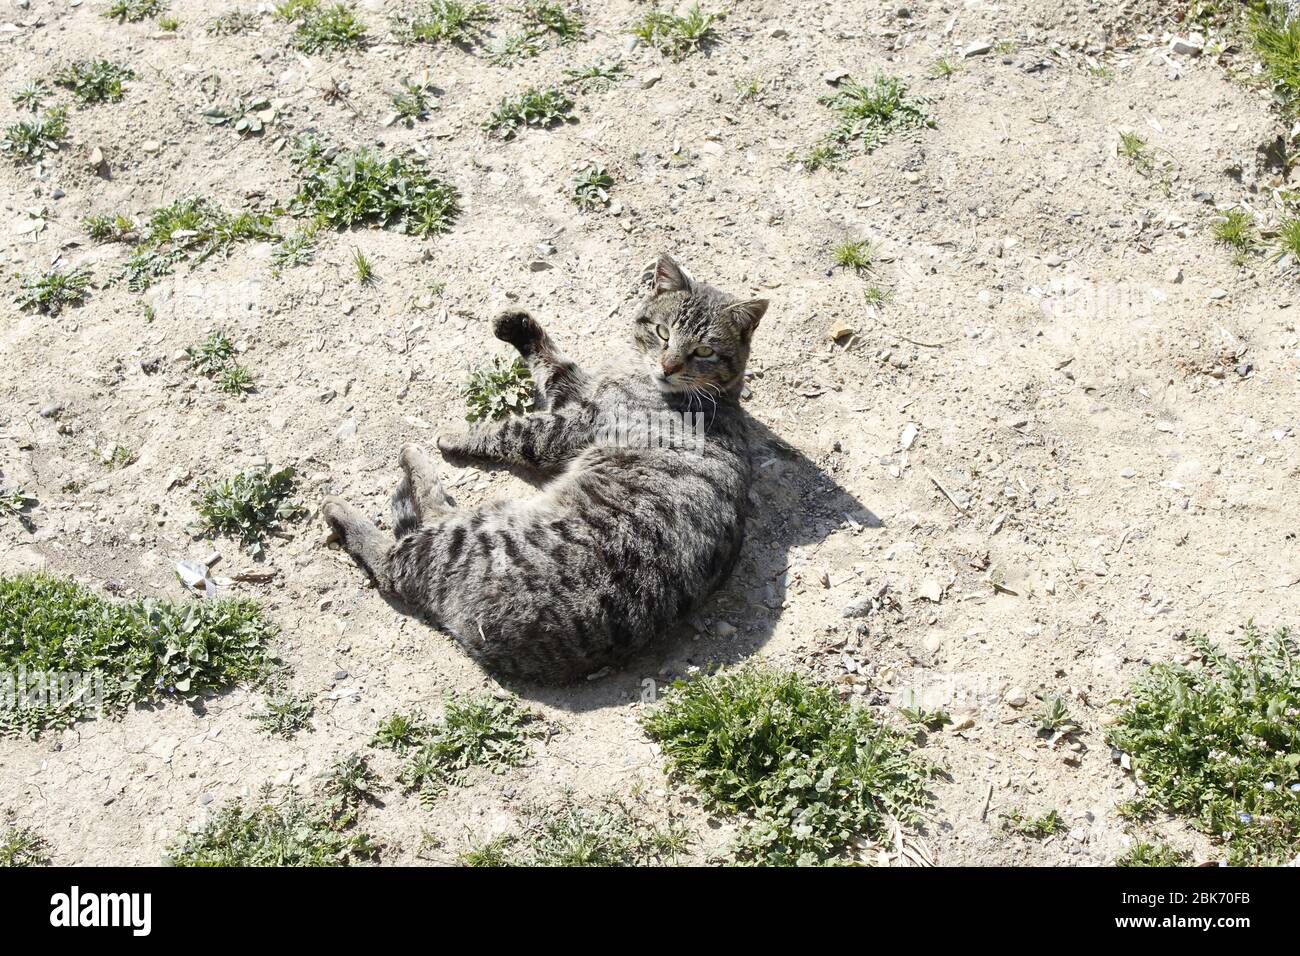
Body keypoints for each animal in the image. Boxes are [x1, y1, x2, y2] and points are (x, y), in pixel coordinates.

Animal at [323, 254, 764, 686]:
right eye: (662, 331)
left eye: (703, 352)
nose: (668, 366)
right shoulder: (578, 391)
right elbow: (553, 362)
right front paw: (517, 325)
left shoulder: (576, 423)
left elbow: (511, 430)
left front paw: (459, 435)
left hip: (467, 537)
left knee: (394, 559)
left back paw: (368, 489)